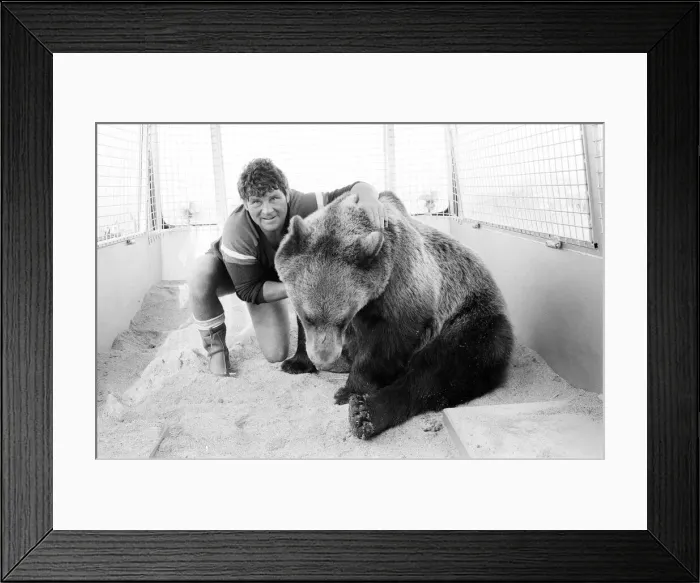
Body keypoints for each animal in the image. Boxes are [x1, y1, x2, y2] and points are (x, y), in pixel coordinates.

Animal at [274, 190, 514, 440]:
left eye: (342, 321)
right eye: (308, 316)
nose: (324, 358)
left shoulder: (402, 284)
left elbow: (388, 341)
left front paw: (350, 390)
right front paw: (295, 363)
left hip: (471, 319)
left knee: (443, 369)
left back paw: (366, 412)